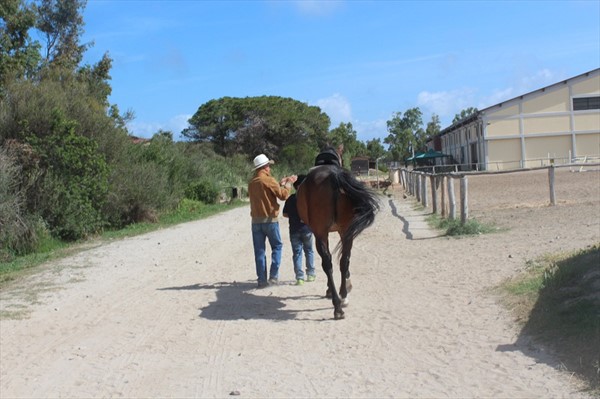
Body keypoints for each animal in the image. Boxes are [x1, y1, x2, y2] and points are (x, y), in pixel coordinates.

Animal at [296, 148, 380, 320]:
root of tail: (333, 175)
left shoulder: (324, 233)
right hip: (342, 231)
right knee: (343, 261)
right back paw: (342, 297)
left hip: (321, 233)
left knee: (328, 263)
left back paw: (337, 304)